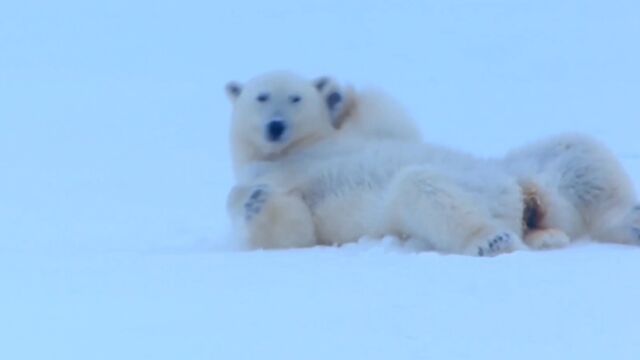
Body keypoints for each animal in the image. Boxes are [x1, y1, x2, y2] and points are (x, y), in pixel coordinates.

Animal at [228, 71, 528, 256]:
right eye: (262, 97)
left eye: (295, 98)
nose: (276, 125)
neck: (289, 153)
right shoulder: (260, 177)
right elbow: (296, 235)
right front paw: (258, 203)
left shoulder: (356, 136)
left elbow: (391, 122)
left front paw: (337, 97)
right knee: (418, 190)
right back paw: (491, 241)